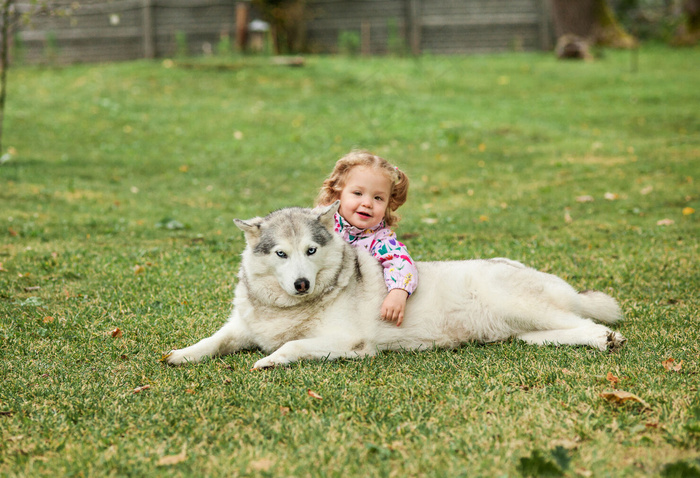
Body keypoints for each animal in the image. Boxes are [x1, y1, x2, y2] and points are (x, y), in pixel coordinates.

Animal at [167, 202, 628, 370]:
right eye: (280, 254)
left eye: (311, 250)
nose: (300, 283)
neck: (287, 309)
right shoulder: (241, 328)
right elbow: (213, 340)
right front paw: (182, 354)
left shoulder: (349, 343)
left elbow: (293, 345)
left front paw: (269, 360)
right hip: (526, 332)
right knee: (559, 332)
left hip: (522, 306)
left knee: (587, 322)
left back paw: (606, 339)